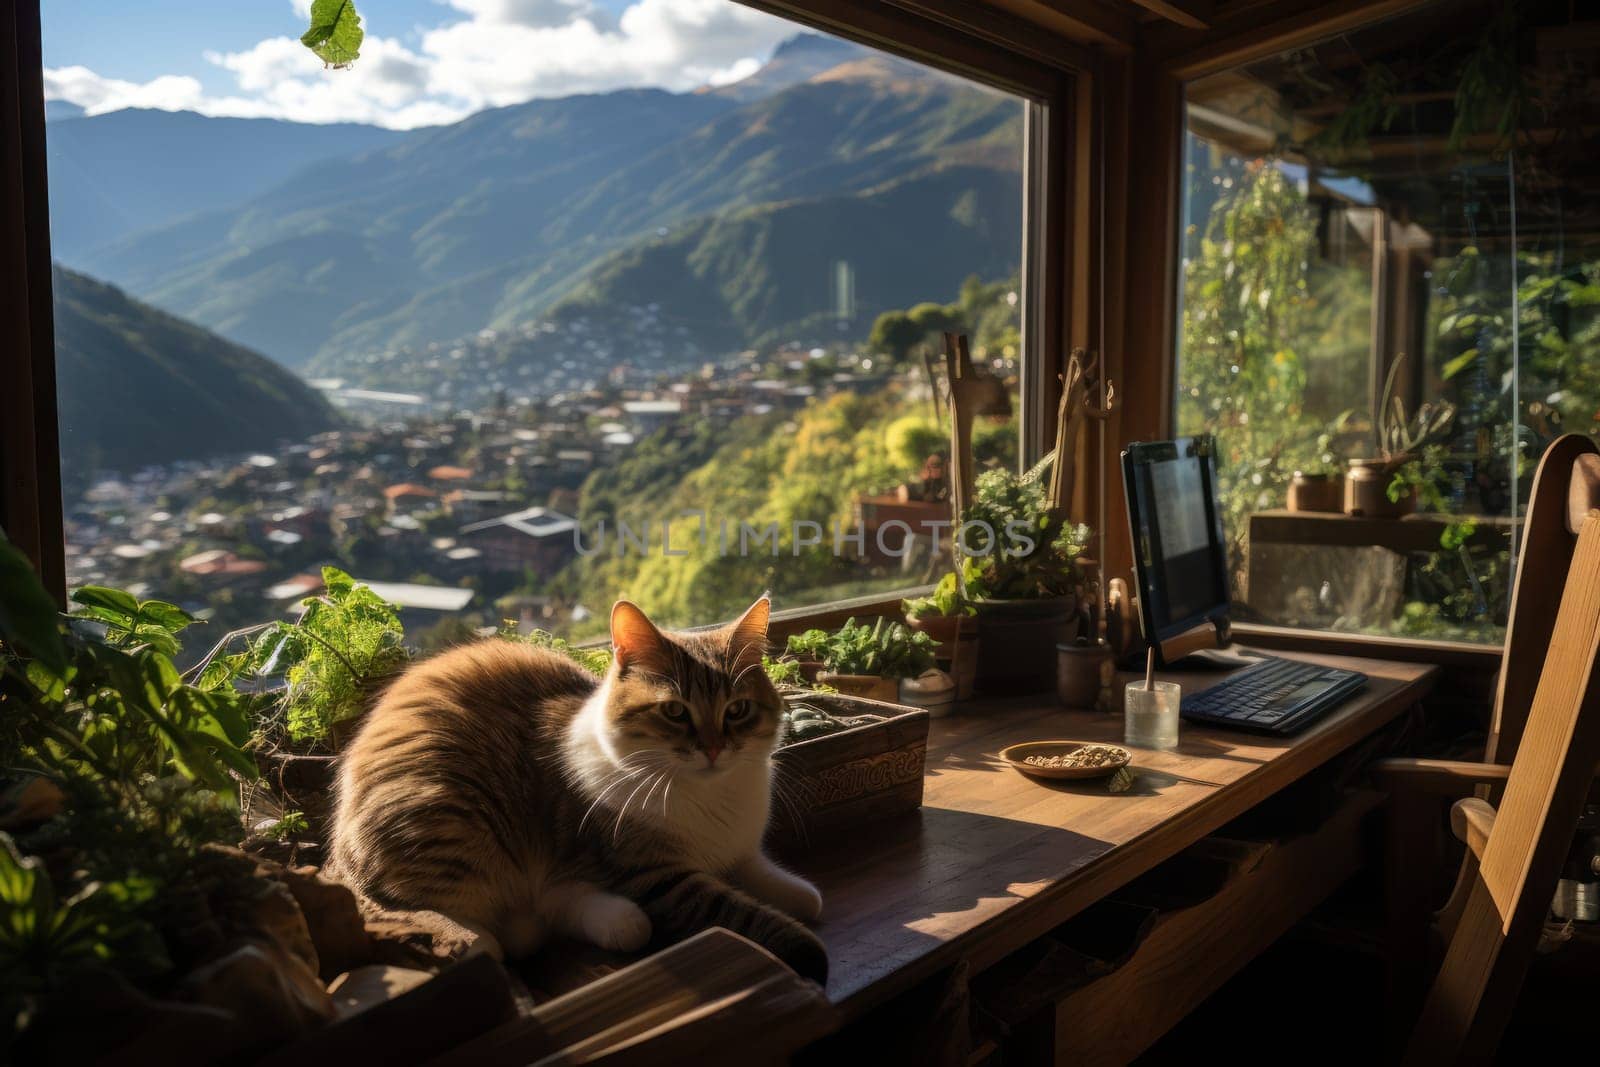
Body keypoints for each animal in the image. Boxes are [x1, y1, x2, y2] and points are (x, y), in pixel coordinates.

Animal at [324, 598, 825, 979]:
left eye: (737, 710)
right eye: (675, 711)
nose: (715, 749)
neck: (709, 798)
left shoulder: (738, 849)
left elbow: (768, 875)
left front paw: (799, 893)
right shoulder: (655, 876)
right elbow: (739, 911)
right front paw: (805, 950)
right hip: (455, 822)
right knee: (479, 921)